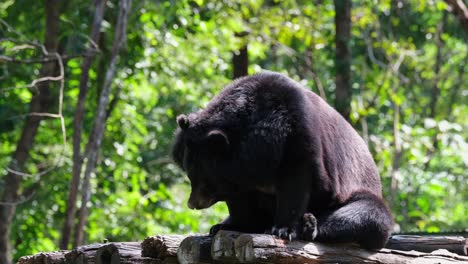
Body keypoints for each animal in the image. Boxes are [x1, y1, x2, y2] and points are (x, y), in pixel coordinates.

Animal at [170, 71, 394, 249]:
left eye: (205, 181)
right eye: (190, 177)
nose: (192, 204)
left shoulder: (299, 139)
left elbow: (296, 184)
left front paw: (283, 230)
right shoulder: (238, 180)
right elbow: (239, 202)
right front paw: (230, 224)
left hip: (359, 192)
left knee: (367, 216)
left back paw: (309, 226)